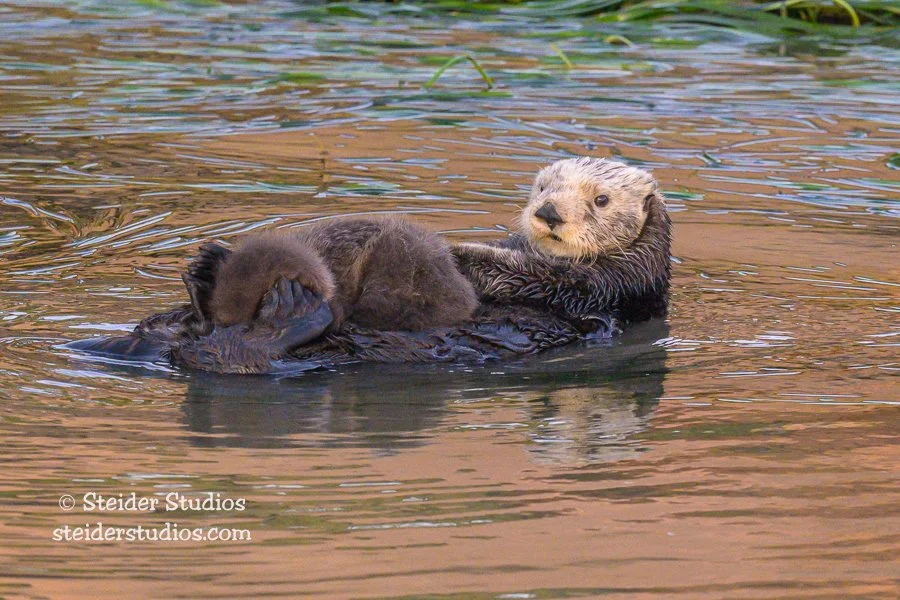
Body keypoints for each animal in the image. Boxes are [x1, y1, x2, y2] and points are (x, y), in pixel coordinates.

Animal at [67, 157, 671, 374]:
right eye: (543, 186)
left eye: (600, 201)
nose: (547, 213)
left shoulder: (608, 284)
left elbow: (532, 277)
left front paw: (456, 251)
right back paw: (204, 274)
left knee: (237, 354)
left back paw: (284, 310)